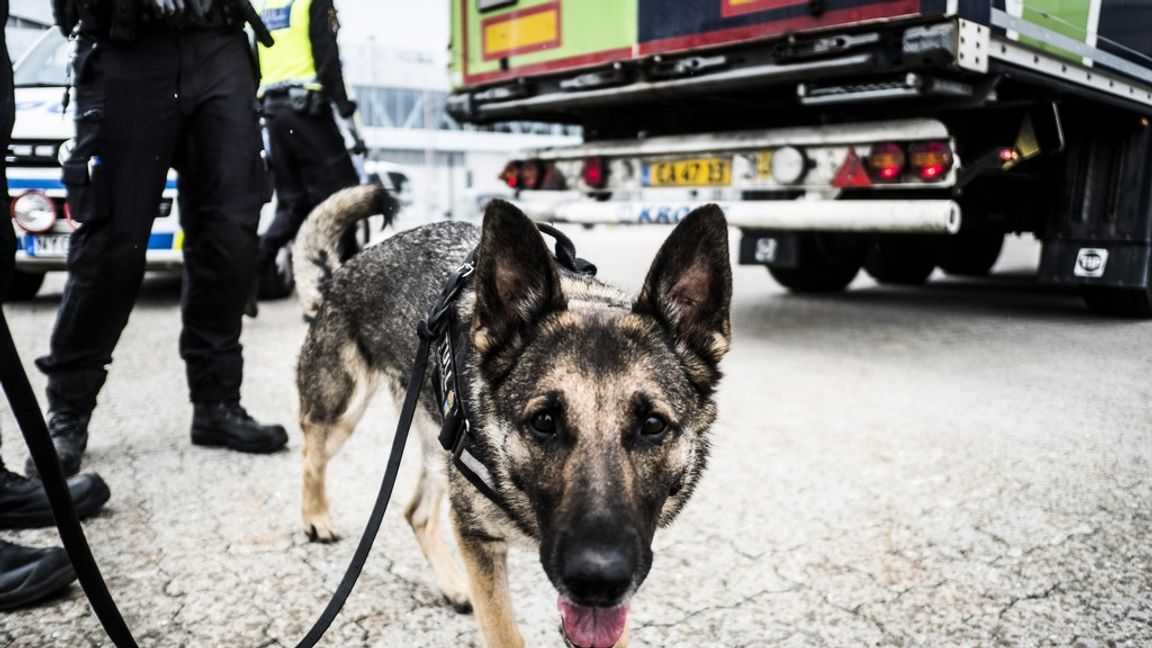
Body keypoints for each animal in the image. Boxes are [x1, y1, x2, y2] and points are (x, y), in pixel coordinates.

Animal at [294, 183, 728, 645]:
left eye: (652, 426)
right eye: (544, 422)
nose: (598, 581)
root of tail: (342, 272)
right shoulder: (478, 539)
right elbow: (504, 632)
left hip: (438, 448)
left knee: (416, 512)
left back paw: (452, 584)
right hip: (341, 413)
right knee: (311, 455)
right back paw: (316, 517)